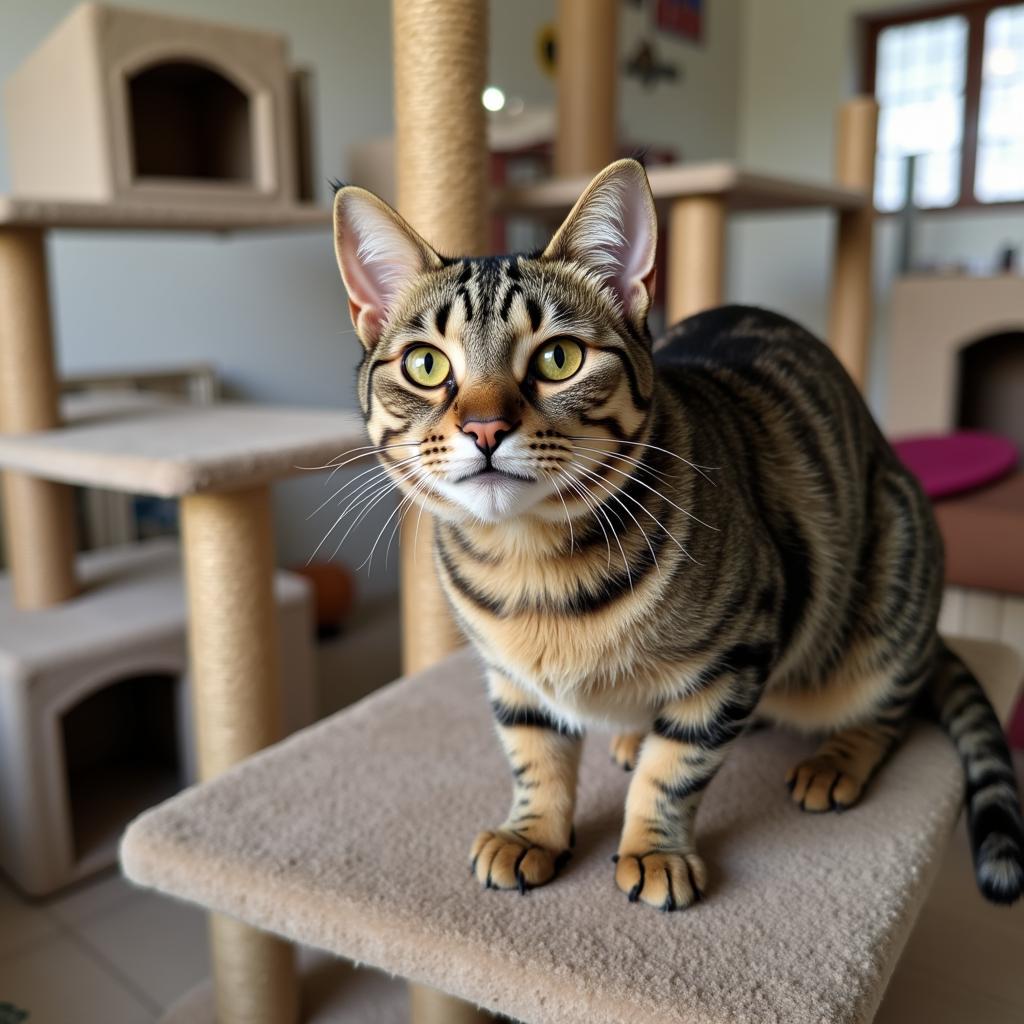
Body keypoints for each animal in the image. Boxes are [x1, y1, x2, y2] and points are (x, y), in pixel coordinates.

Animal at [331, 155, 1019, 909]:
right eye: (426, 365)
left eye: (558, 359)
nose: (485, 428)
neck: (530, 562)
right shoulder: (510, 678)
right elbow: (534, 755)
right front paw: (532, 831)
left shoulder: (737, 652)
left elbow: (677, 766)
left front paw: (655, 848)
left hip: (890, 580)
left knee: (885, 710)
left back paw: (836, 760)